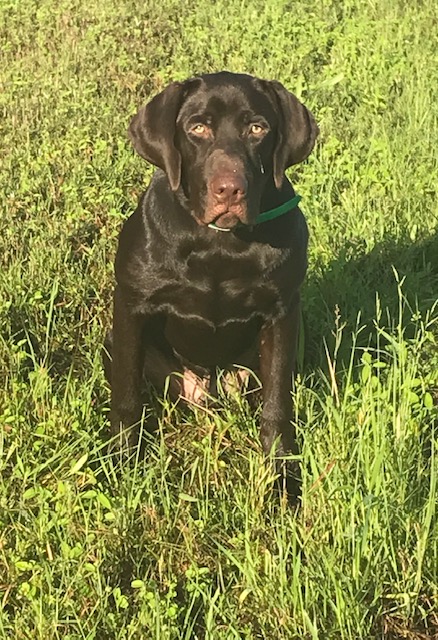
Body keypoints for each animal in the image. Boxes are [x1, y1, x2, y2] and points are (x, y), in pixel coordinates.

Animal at [106, 72, 318, 498]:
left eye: (257, 128)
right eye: (198, 128)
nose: (229, 190)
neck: (220, 244)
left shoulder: (283, 314)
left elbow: (278, 404)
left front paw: (282, 477)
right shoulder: (132, 306)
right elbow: (126, 394)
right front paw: (122, 461)